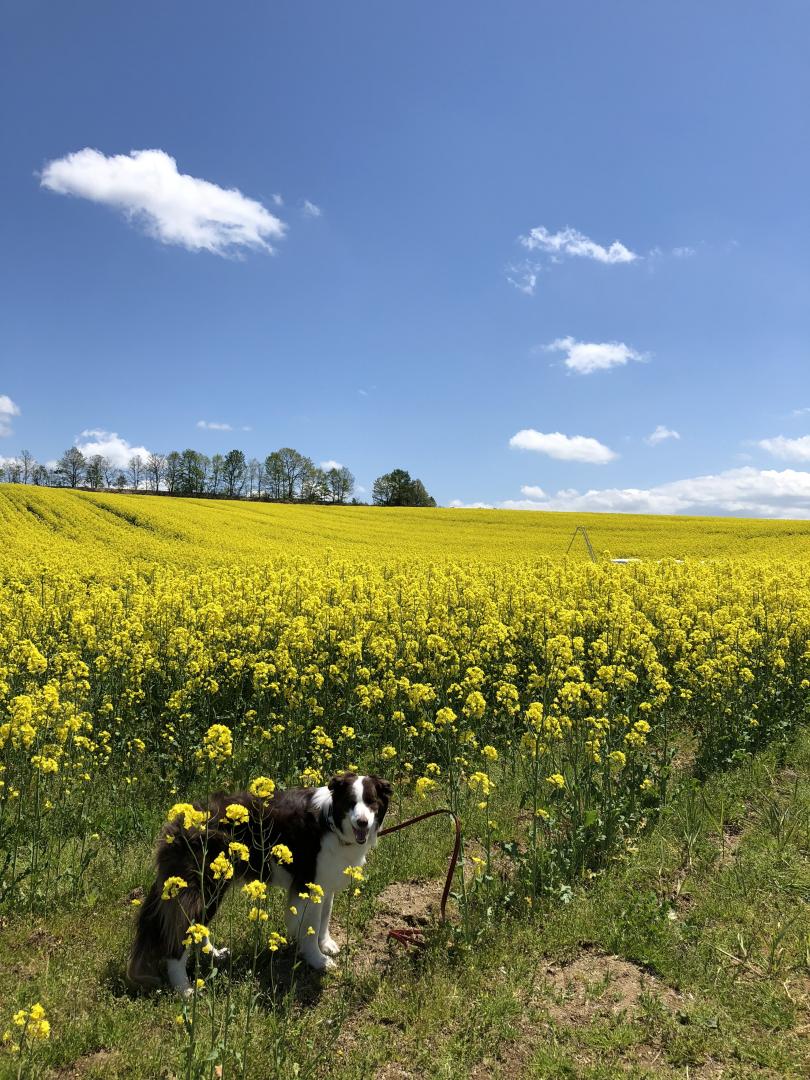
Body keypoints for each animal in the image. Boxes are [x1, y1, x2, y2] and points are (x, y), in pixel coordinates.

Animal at [128, 768, 390, 993]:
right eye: (351, 802)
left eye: (371, 801)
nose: (363, 823)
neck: (331, 822)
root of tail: (176, 825)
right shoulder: (307, 884)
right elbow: (310, 928)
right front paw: (318, 960)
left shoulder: (325, 882)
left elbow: (325, 918)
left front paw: (326, 945)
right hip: (200, 889)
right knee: (177, 940)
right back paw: (184, 990)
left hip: (210, 889)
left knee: (196, 927)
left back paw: (214, 955)